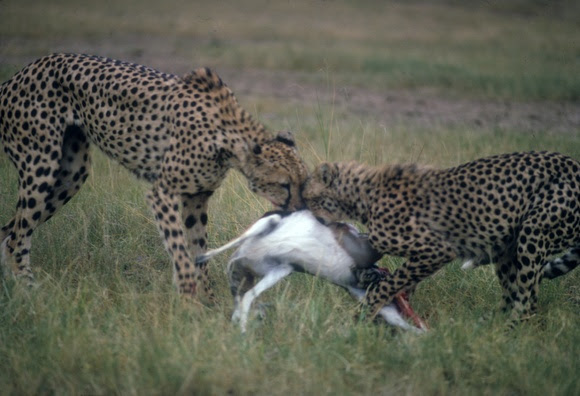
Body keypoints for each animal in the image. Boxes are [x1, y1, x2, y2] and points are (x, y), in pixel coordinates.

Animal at [1, 53, 308, 296]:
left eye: (303, 183)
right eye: (284, 185)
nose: (299, 212)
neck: (226, 138)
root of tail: (20, 73)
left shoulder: (197, 198)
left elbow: (199, 252)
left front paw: (210, 304)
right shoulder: (162, 192)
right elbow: (181, 252)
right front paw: (190, 301)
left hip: (70, 174)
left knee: (9, 230)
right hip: (41, 165)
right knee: (16, 237)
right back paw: (30, 291)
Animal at [304, 152, 580, 324]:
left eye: (308, 196)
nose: (303, 211)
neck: (363, 195)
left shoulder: (437, 250)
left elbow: (391, 283)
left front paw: (362, 314)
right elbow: (401, 281)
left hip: (533, 233)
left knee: (527, 301)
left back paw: (506, 331)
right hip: (507, 247)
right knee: (513, 294)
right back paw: (487, 328)